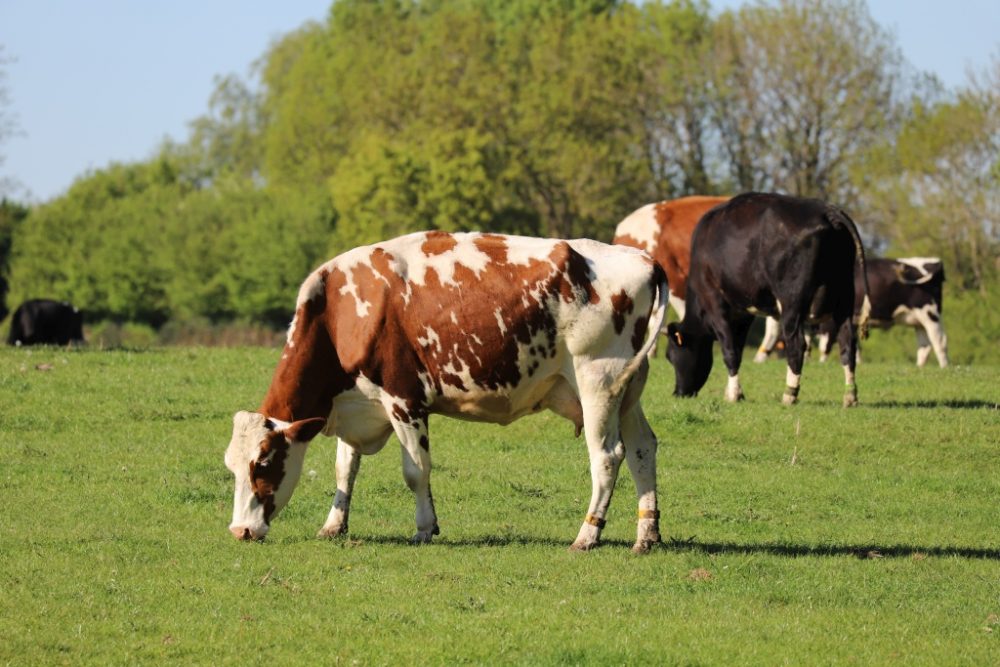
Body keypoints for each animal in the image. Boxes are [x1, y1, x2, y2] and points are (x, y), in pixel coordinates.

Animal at [223, 232, 668, 556]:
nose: (239, 531)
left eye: (263, 464)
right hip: (628, 390)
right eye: (232, 467)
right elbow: (344, 468)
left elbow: (416, 470)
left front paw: (424, 527)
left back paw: (587, 535)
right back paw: (646, 535)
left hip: (598, 382)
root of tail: (644, 260)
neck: (343, 313)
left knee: (607, 456)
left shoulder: (404, 400)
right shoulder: (357, 401)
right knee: (642, 448)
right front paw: (333, 525)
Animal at [668, 189, 872, 408]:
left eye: (671, 356)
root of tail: (826, 210)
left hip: (792, 301)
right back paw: (850, 396)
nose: (678, 393)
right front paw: (735, 391)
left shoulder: (714, 302)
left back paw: (789, 395)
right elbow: (738, 350)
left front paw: (733, 395)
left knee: (797, 345)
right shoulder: (743, 313)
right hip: (845, 298)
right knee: (847, 342)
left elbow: (729, 351)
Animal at [752, 258, 948, 370]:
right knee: (924, 346)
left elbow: (825, 346)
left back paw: (944, 367)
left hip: (930, 315)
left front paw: (822, 363)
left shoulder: (829, 323)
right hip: (918, 321)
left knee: (939, 341)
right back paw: (920, 367)